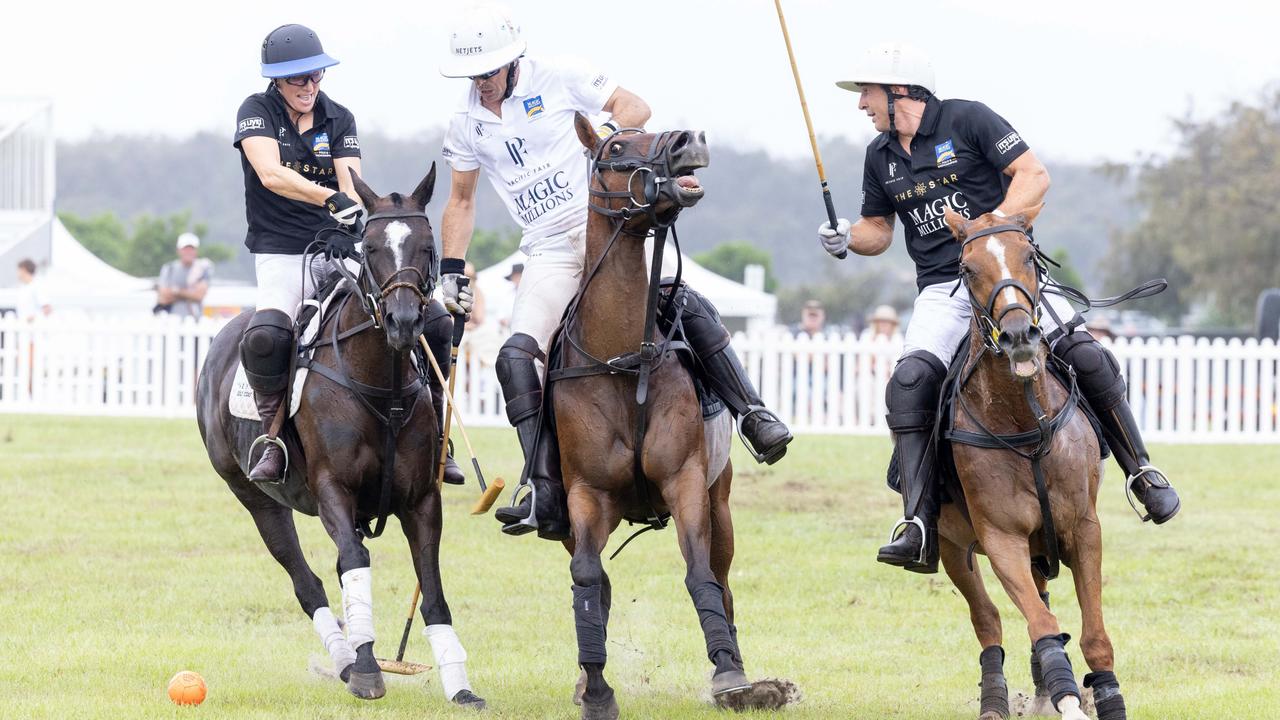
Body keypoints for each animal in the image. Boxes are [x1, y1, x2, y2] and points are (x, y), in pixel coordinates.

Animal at [197, 163, 481, 707]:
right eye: (368, 247)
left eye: (428, 245)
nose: (403, 321)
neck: (381, 384)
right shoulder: (333, 488)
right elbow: (353, 562)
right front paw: (369, 669)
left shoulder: (421, 499)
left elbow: (430, 585)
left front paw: (460, 684)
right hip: (252, 495)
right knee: (307, 581)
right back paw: (347, 660)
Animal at [545, 113, 783, 717]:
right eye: (615, 147)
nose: (687, 140)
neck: (623, 358)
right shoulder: (584, 494)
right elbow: (587, 578)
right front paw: (596, 687)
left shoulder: (686, 480)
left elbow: (700, 575)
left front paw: (729, 675)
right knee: (594, 580)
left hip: (721, 499)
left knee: (723, 579)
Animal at [931, 203, 1131, 717]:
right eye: (966, 269)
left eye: (1029, 257)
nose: (1020, 334)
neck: (1026, 423)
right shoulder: (1001, 538)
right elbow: (1039, 623)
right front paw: (1067, 697)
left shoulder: (1083, 527)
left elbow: (1094, 634)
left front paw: (1104, 697)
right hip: (951, 544)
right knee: (989, 619)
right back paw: (998, 699)